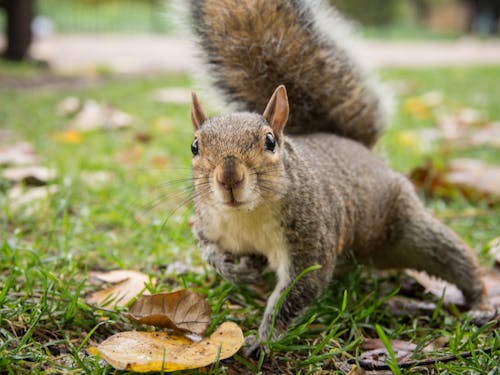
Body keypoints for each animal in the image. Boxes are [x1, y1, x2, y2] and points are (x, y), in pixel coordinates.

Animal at [186, 0, 490, 356]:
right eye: (195, 146)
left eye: (270, 142)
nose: (229, 178)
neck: (246, 215)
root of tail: (360, 149)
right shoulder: (209, 225)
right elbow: (209, 252)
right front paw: (235, 269)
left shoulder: (311, 238)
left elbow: (297, 290)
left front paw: (263, 340)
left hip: (407, 228)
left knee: (455, 258)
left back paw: (481, 304)